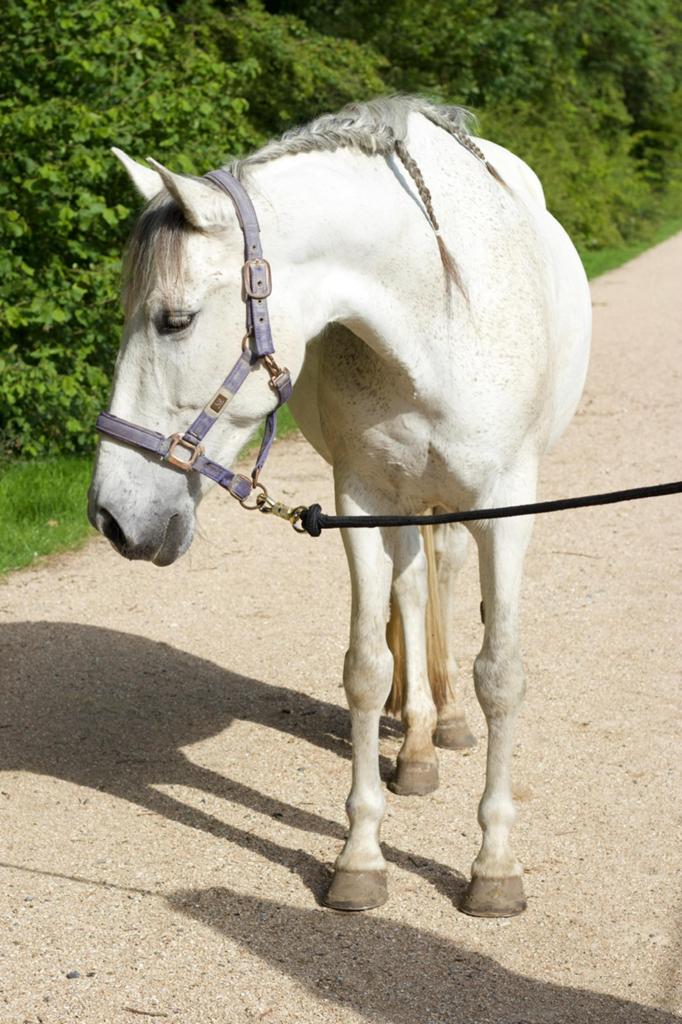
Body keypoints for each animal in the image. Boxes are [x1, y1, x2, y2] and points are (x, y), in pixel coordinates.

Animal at [88, 96, 591, 917]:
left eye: (175, 319)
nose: (111, 516)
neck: (435, 317)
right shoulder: (361, 496)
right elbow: (365, 664)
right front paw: (359, 856)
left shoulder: (507, 505)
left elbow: (501, 674)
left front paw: (494, 866)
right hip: (406, 505)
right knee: (414, 594)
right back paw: (417, 744)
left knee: (450, 581)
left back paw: (448, 724)